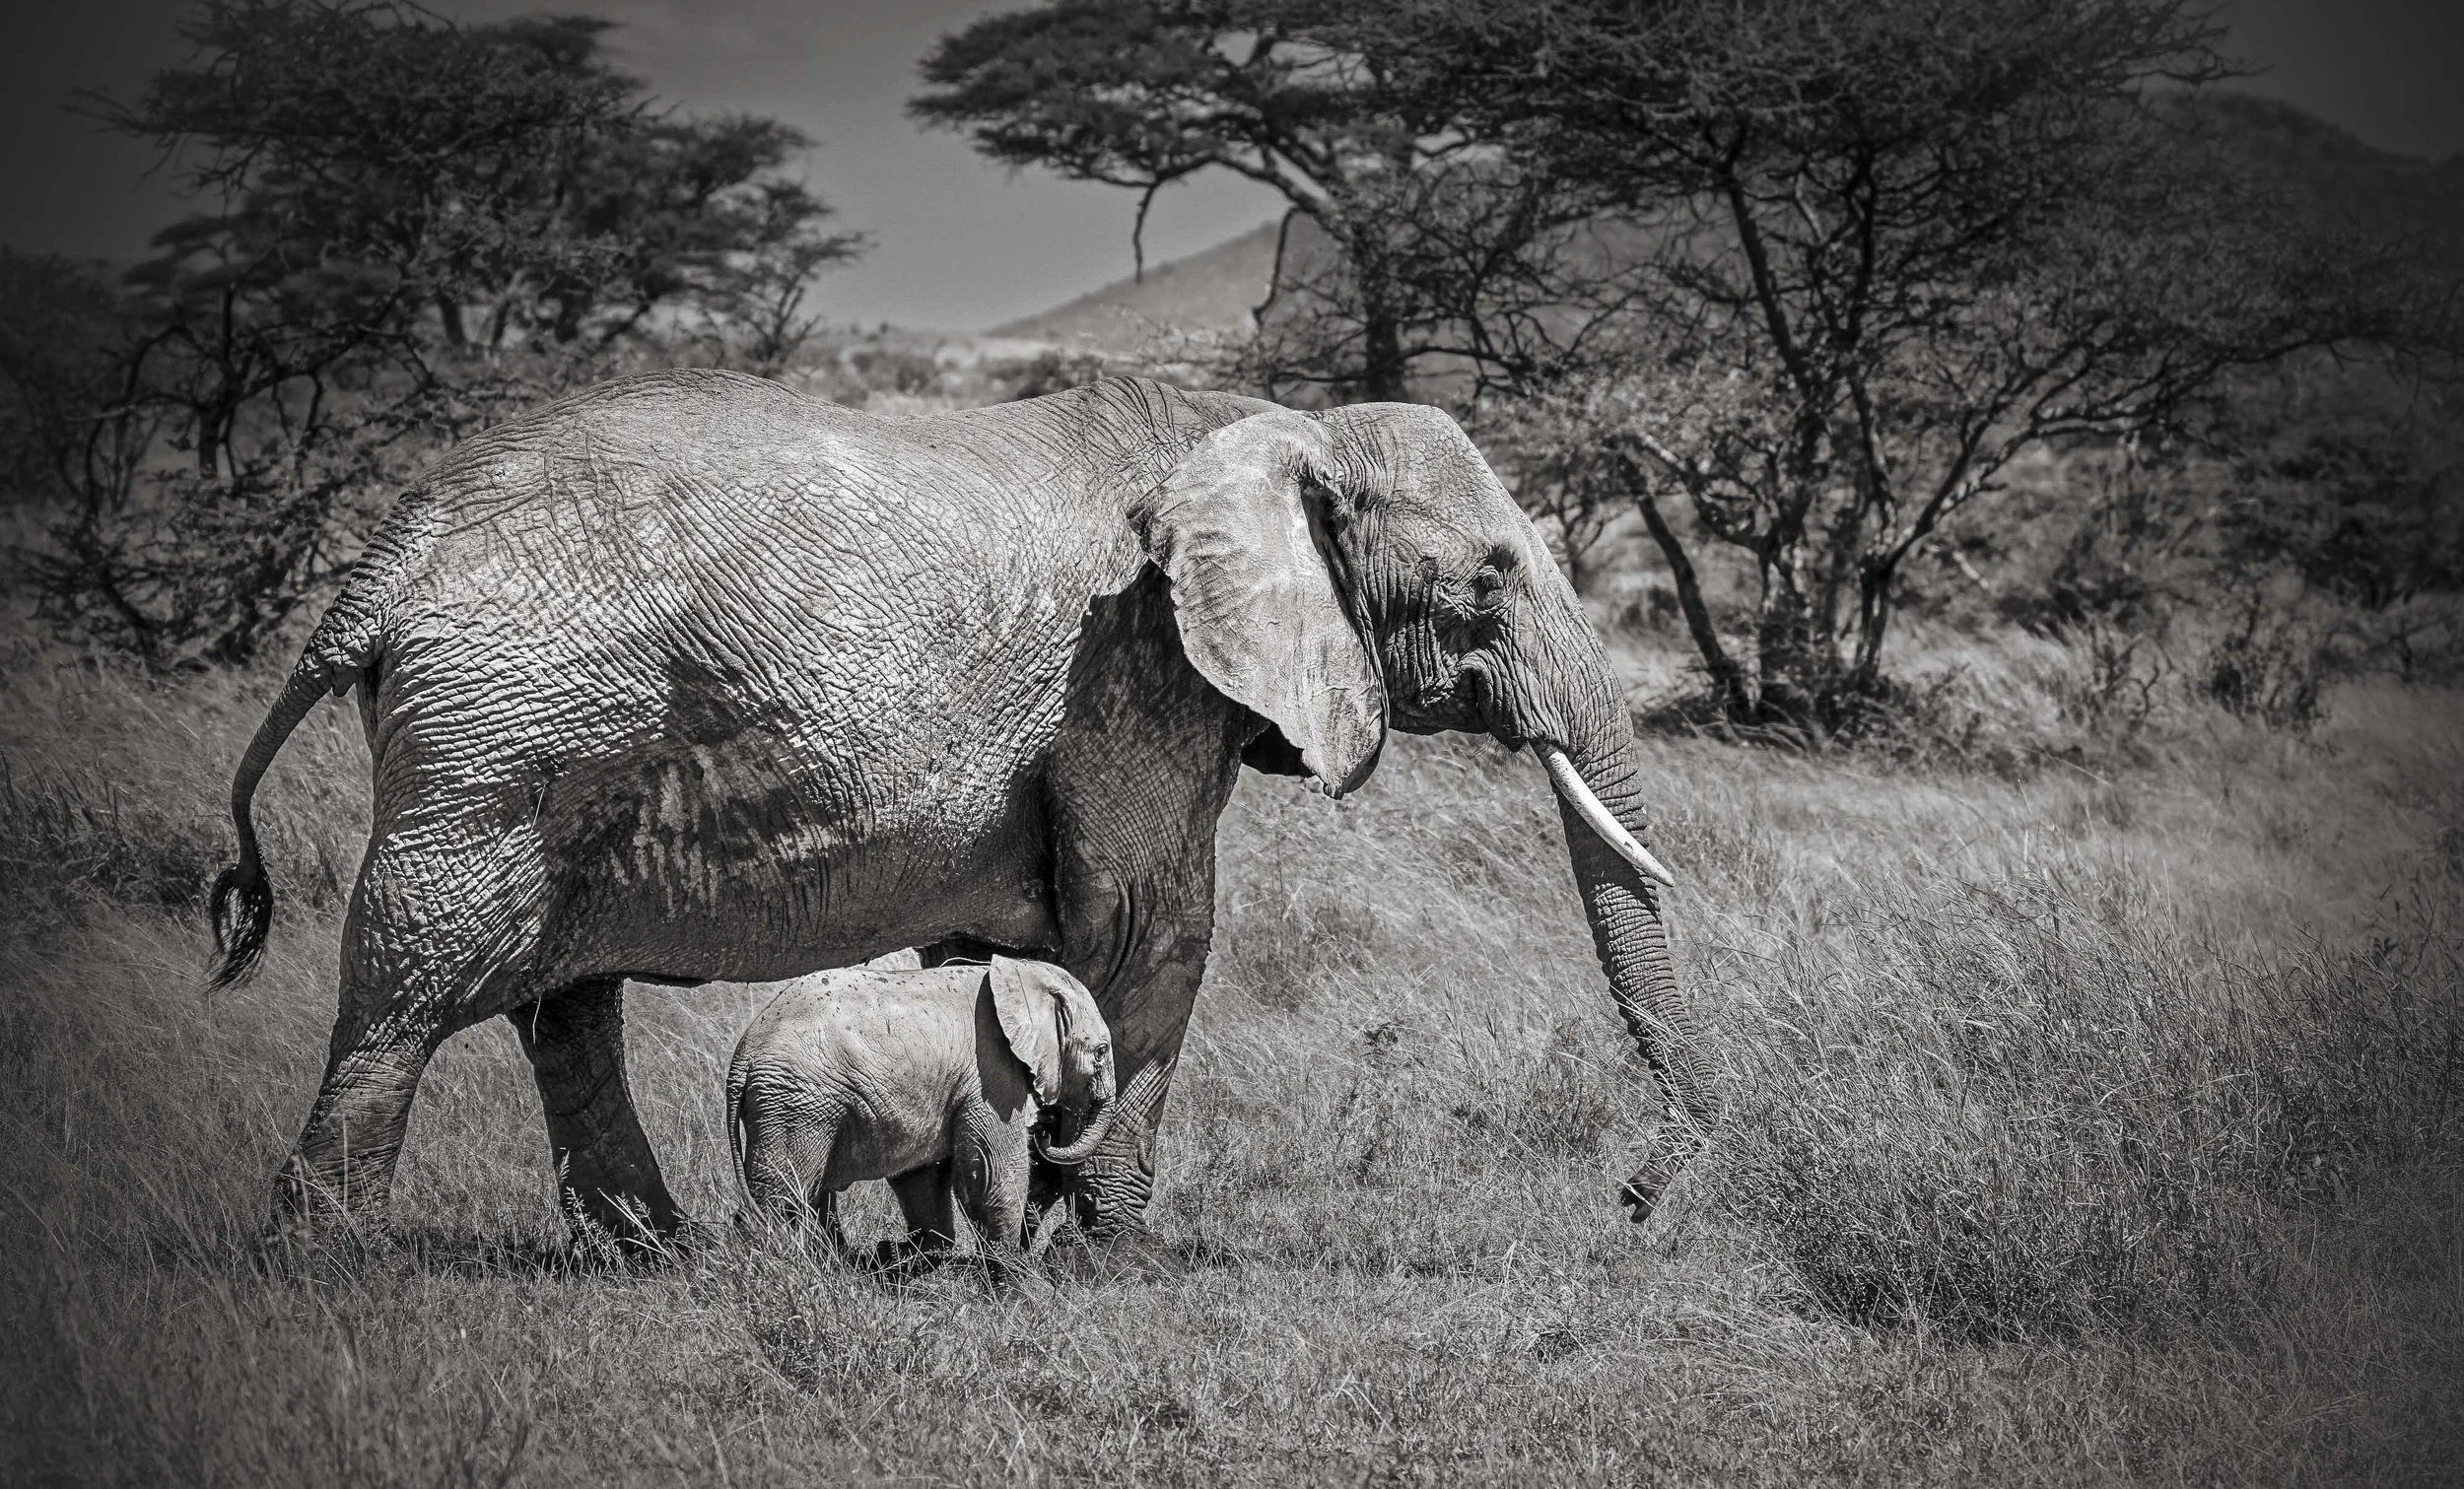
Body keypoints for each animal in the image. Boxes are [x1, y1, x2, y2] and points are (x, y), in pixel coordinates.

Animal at [727, 953, 1116, 1270]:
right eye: (1100, 1052)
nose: (1044, 1125)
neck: (1022, 971)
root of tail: (742, 1055)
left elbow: (922, 1176)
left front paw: (914, 1255)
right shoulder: (990, 1073)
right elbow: (991, 1170)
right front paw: (1014, 1275)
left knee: (806, 1195)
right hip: (795, 1102)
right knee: (783, 1193)